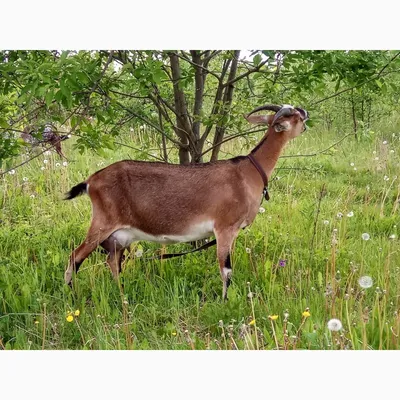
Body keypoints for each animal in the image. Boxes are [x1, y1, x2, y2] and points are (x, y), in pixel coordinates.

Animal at [65, 104, 310, 298]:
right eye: (295, 116)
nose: (305, 114)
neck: (248, 172)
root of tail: (91, 181)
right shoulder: (225, 227)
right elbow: (226, 270)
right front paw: (224, 302)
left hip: (119, 236)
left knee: (113, 261)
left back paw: (121, 293)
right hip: (102, 223)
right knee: (75, 256)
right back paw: (72, 295)